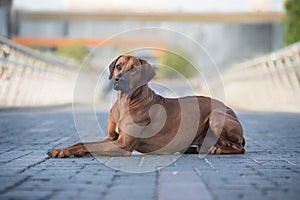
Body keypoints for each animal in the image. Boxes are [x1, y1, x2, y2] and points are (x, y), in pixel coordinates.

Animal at [48, 55, 246, 158]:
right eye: (118, 66)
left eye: (133, 68)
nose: (119, 79)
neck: (125, 102)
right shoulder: (112, 138)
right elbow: (83, 142)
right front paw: (63, 149)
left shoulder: (123, 145)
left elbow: (86, 144)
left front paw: (63, 150)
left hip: (217, 116)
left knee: (239, 147)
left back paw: (219, 149)